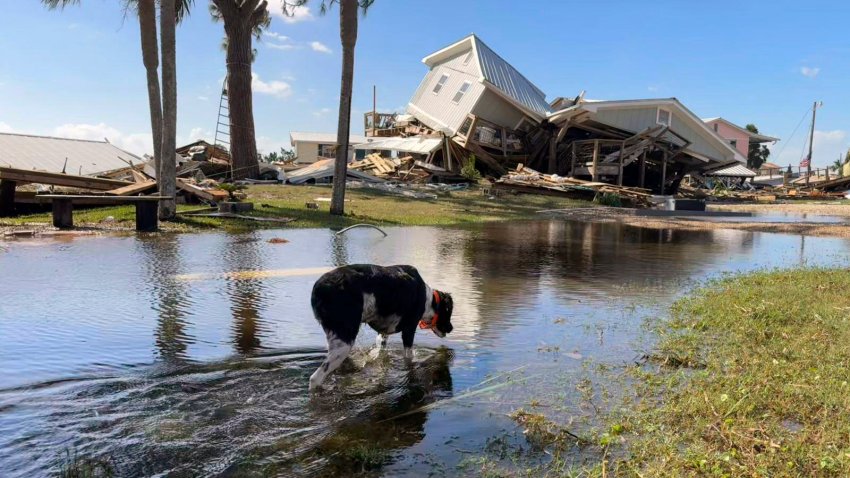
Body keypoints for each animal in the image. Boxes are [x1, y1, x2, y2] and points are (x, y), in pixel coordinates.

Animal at [308, 264, 454, 390]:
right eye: (449, 312)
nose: (451, 328)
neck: (428, 300)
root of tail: (319, 288)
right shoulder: (409, 330)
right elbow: (408, 358)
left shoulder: (383, 334)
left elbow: (381, 352)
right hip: (343, 343)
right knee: (314, 379)